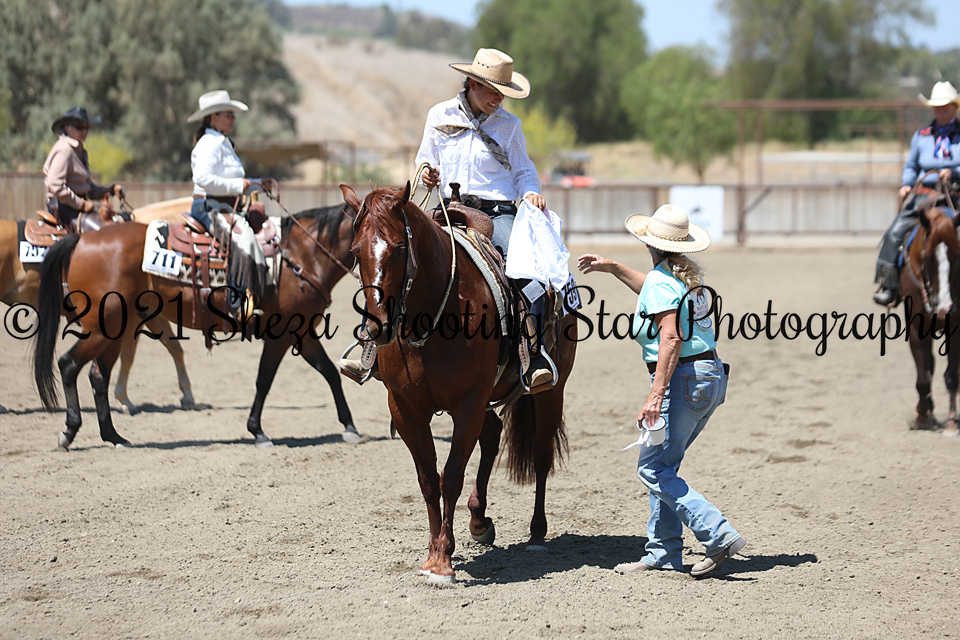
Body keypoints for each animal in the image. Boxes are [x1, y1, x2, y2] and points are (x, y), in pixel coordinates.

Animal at [0, 218, 196, 413]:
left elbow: (174, 348)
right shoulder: (135, 318)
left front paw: (187, 395)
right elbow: (128, 355)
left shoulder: (152, 315)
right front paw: (124, 399)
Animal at [32, 204, 359, 448]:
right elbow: (264, 381)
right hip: (101, 330)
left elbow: (331, 373)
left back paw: (114, 436)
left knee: (98, 377)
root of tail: (82, 240)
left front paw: (350, 427)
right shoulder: (282, 335)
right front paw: (257, 431)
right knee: (68, 365)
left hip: (114, 330)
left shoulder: (303, 333)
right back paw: (70, 431)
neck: (302, 255)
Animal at [340, 182, 578, 583]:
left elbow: (450, 476)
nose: (377, 327)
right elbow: (428, 480)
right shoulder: (405, 407)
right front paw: (434, 552)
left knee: (541, 455)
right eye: (356, 251)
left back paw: (536, 534)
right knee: (493, 434)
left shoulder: (468, 402)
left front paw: (442, 561)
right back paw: (480, 521)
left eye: (399, 247)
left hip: (550, 393)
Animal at [900, 202, 960, 436]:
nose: (944, 307)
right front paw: (923, 416)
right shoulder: (916, 327)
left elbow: (952, 375)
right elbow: (924, 376)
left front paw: (952, 422)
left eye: (956, 255)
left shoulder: (955, 326)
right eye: (927, 257)